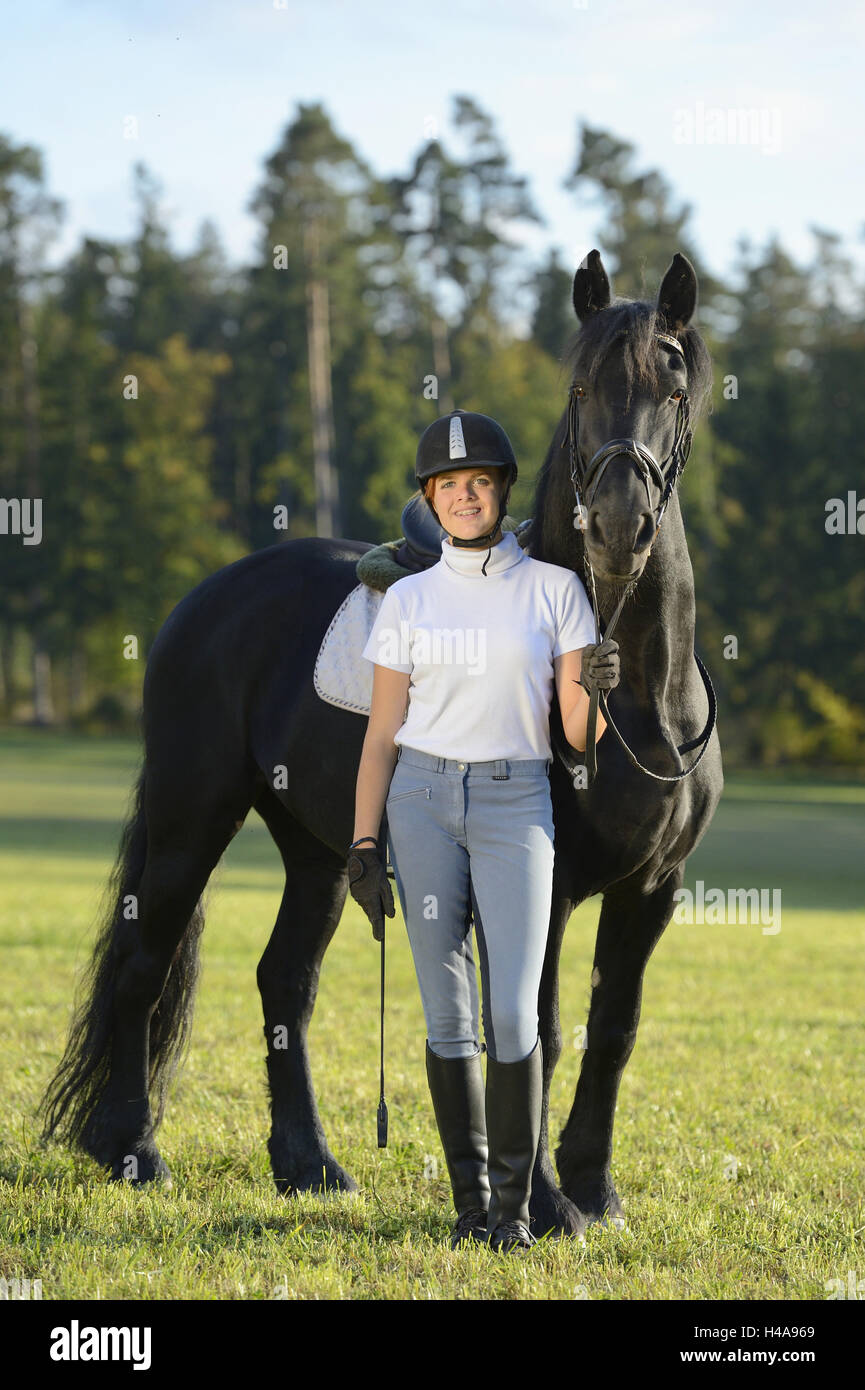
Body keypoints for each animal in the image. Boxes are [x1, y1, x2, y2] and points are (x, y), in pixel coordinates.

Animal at [37, 247, 723, 1239]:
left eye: (672, 389)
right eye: (579, 387)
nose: (617, 527)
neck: (634, 697)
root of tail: (209, 597)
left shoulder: (652, 891)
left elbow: (614, 1030)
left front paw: (594, 1189)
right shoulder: (547, 884)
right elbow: (538, 1024)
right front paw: (547, 1204)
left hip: (320, 852)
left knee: (283, 984)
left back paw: (309, 1166)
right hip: (190, 818)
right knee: (143, 965)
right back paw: (131, 1149)